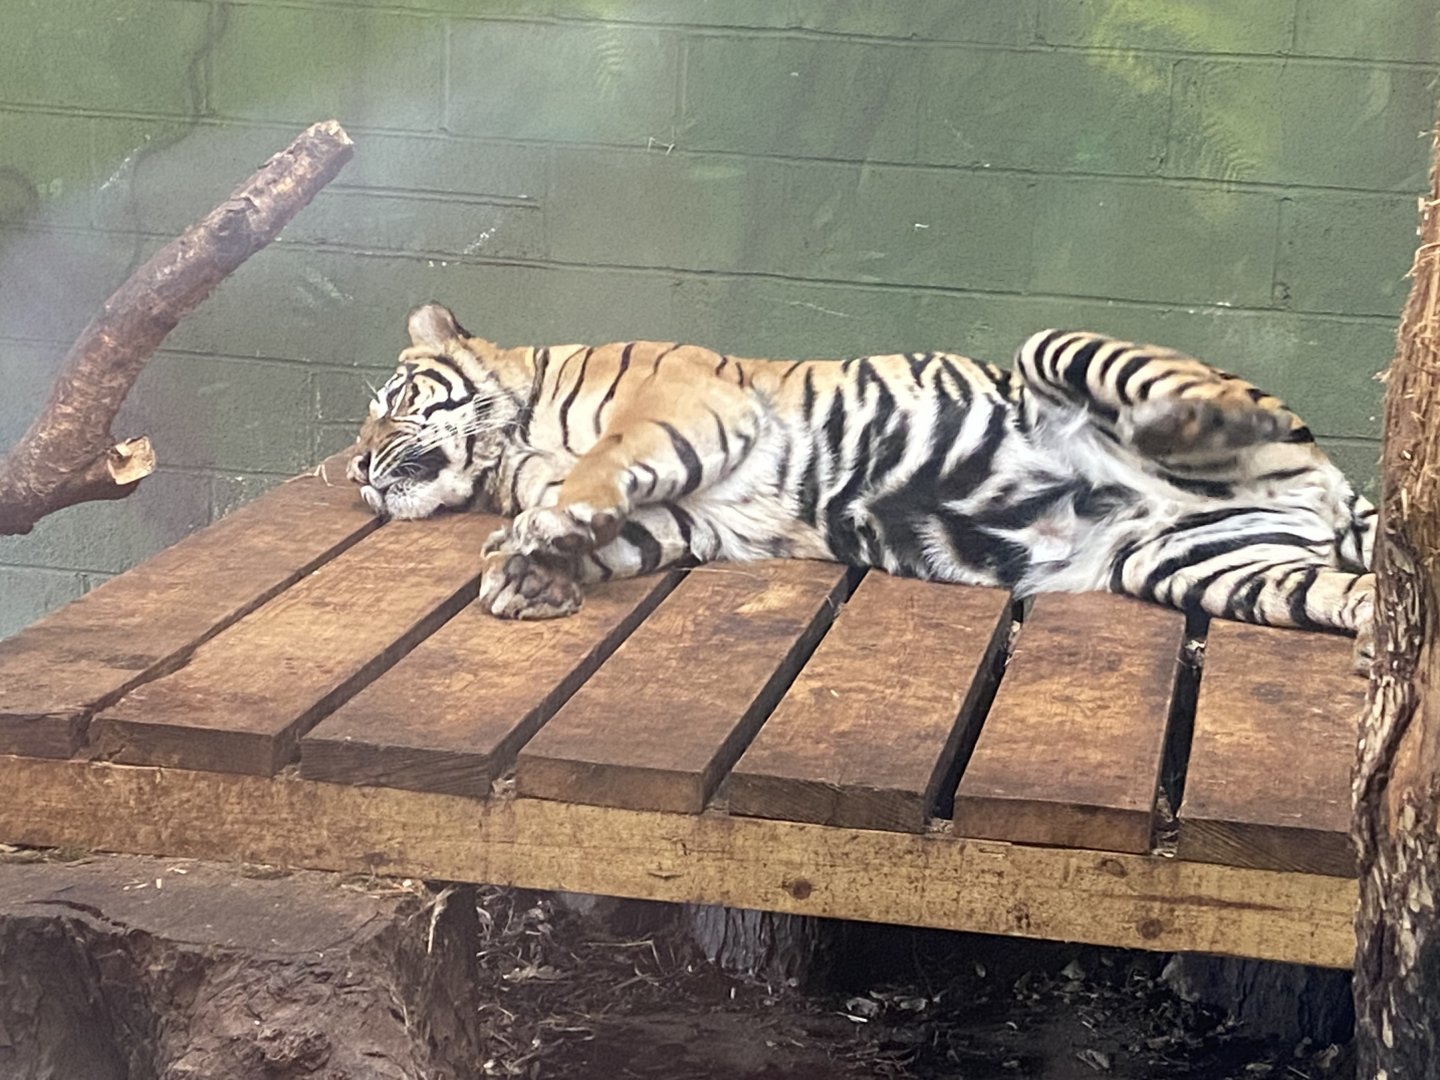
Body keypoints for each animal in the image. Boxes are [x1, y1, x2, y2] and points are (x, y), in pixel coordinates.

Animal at [348, 301, 1377, 670]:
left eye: (390, 401)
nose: (354, 465)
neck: (514, 452)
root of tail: (1321, 487)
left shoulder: (686, 404)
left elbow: (603, 469)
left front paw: (532, 542)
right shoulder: (704, 517)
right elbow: (626, 533)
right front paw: (532, 575)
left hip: (1066, 350)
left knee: (1205, 398)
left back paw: (1179, 425)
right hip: (1216, 565)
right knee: (1357, 592)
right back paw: (1378, 648)